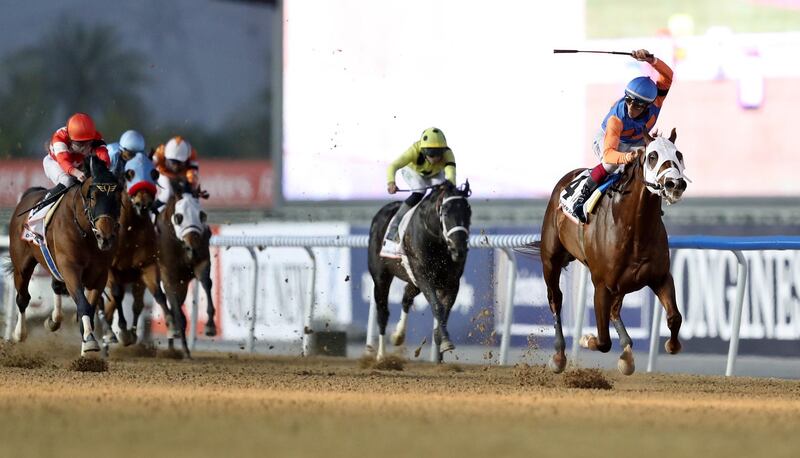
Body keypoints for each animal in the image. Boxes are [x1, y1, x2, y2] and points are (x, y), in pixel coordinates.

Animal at [6, 156, 122, 356]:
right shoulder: (70, 268)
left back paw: (54, 320)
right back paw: (19, 333)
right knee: (23, 298)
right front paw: (89, 342)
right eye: (93, 197)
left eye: (117, 197)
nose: (105, 237)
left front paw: (87, 345)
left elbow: (90, 307)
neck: (86, 232)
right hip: (22, 265)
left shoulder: (99, 274)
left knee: (56, 287)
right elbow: (83, 304)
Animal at [155, 182, 212, 358]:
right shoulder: (168, 275)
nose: (192, 248)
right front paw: (185, 350)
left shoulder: (201, 261)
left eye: (202, 215)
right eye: (179, 217)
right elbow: (177, 312)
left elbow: (206, 283)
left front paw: (210, 325)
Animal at [368, 181, 472, 364]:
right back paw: (381, 356)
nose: (459, 249)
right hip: (381, 277)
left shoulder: (452, 282)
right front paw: (445, 342)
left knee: (406, 298)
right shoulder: (424, 277)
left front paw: (440, 342)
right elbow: (437, 306)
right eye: (446, 213)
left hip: (413, 280)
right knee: (382, 312)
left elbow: (444, 311)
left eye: (468, 212)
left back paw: (398, 335)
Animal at [532, 130, 688, 376]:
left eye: (678, 154)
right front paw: (587, 339)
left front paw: (672, 345)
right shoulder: (601, 285)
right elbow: (604, 341)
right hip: (550, 260)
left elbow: (675, 317)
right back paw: (559, 356)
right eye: (652, 156)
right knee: (555, 298)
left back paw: (627, 353)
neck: (635, 229)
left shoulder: (660, 277)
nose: (675, 184)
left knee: (615, 310)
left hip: (622, 284)